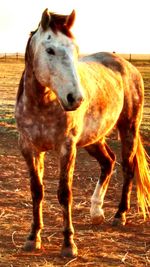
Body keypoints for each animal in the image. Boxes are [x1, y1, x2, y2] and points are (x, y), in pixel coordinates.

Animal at [15, 8, 150, 260]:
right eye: (50, 49)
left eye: (76, 50)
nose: (76, 99)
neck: (42, 103)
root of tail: (127, 66)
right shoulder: (29, 149)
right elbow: (37, 191)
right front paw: (33, 237)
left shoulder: (67, 148)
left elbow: (64, 193)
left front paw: (68, 244)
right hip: (93, 139)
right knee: (108, 162)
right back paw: (96, 211)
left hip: (128, 128)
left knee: (127, 168)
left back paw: (119, 215)